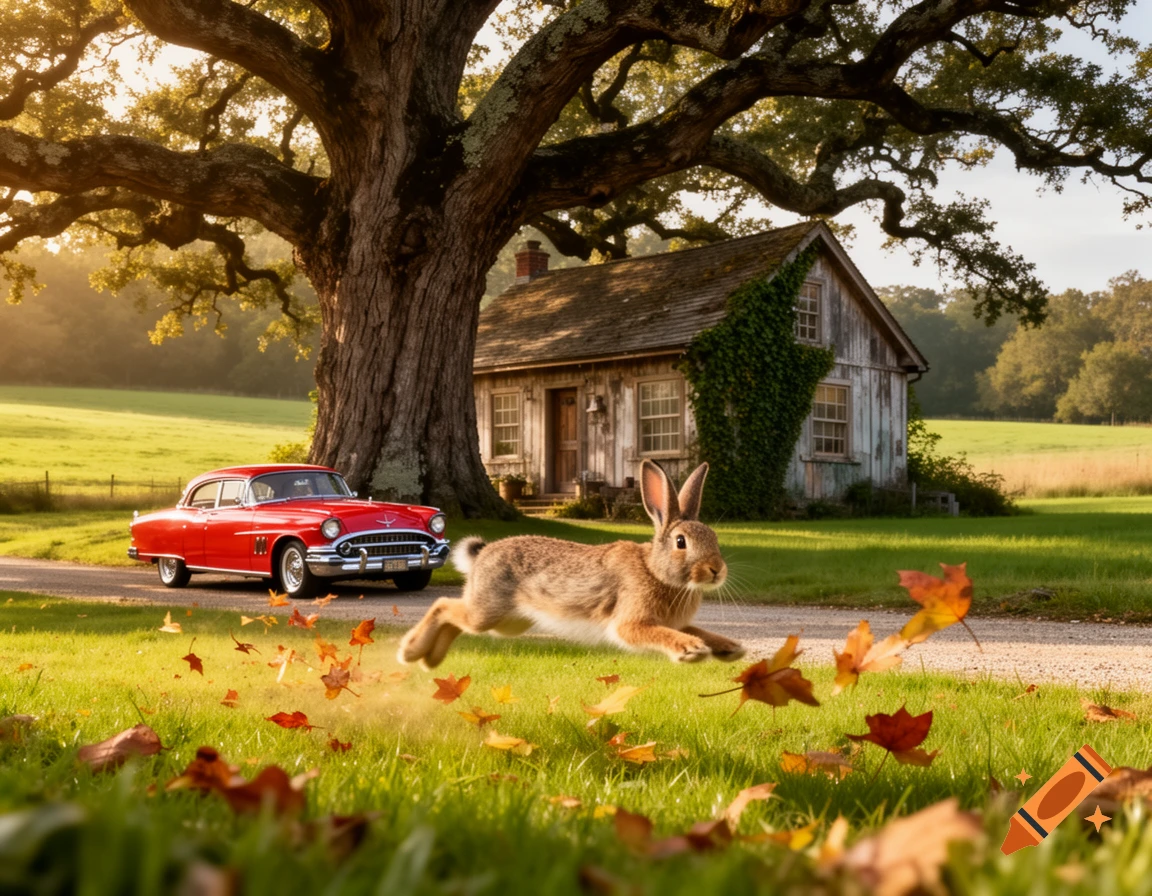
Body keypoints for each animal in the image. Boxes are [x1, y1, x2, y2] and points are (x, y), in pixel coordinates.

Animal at [397, 459, 745, 668]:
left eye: (713, 536)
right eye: (681, 542)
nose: (717, 570)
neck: (655, 571)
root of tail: (481, 555)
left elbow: (700, 630)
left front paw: (730, 647)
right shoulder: (631, 622)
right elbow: (654, 634)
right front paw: (691, 650)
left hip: (508, 623)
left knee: (454, 617)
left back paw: (429, 660)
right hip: (488, 611)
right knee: (443, 605)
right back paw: (410, 652)